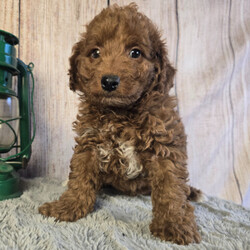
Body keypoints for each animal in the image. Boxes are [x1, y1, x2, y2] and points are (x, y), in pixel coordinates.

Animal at [39, 3, 203, 245]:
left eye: (135, 53)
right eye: (95, 53)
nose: (109, 81)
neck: (121, 114)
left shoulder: (164, 146)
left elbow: (171, 188)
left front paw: (174, 224)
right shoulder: (89, 142)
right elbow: (80, 178)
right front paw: (67, 207)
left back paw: (191, 193)